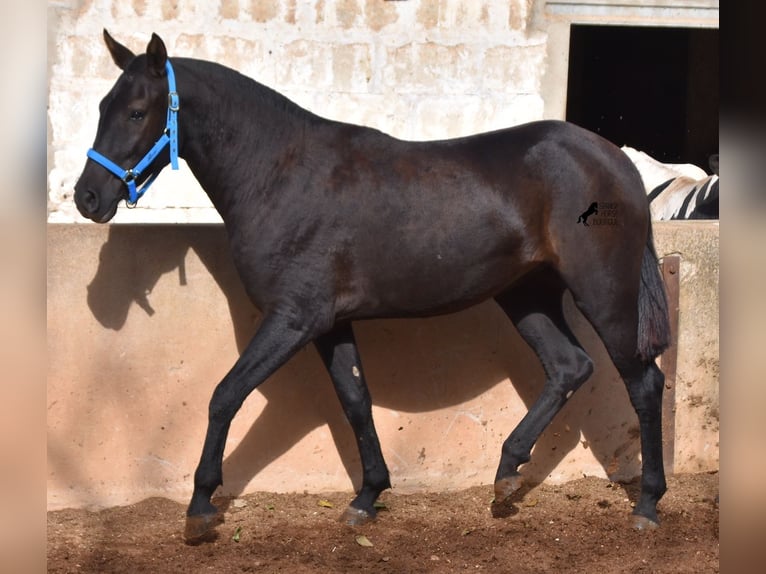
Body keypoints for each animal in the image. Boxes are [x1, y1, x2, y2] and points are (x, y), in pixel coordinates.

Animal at [75, 32, 668, 544]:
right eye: (102, 106)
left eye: (137, 111)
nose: (87, 197)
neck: (280, 174)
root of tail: (618, 162)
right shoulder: (330, 324)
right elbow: (355, 400)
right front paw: (367, 497)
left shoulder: (293, 318)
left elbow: (225, 394)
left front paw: (199, 509)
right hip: (526, 296)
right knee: (569, 367)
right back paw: (506, 474)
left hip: (604, 296)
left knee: (643, 383)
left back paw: (646, 504)